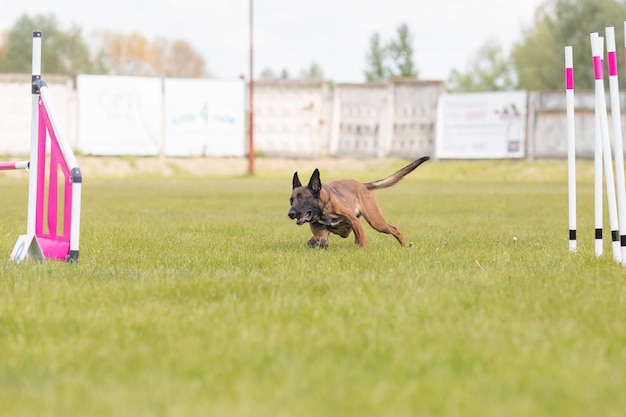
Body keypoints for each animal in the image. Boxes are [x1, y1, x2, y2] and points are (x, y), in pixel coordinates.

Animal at [288, 156, 428, 247]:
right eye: (291, 201)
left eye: (302, 198)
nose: (290, 214)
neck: (323, 209)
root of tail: (362, 185)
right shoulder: (321, 232)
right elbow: (318, 238)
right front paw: (315, 242)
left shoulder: (354, 221)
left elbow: (364, 242)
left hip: (376, 221)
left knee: (394, 229)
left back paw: (405, 246)